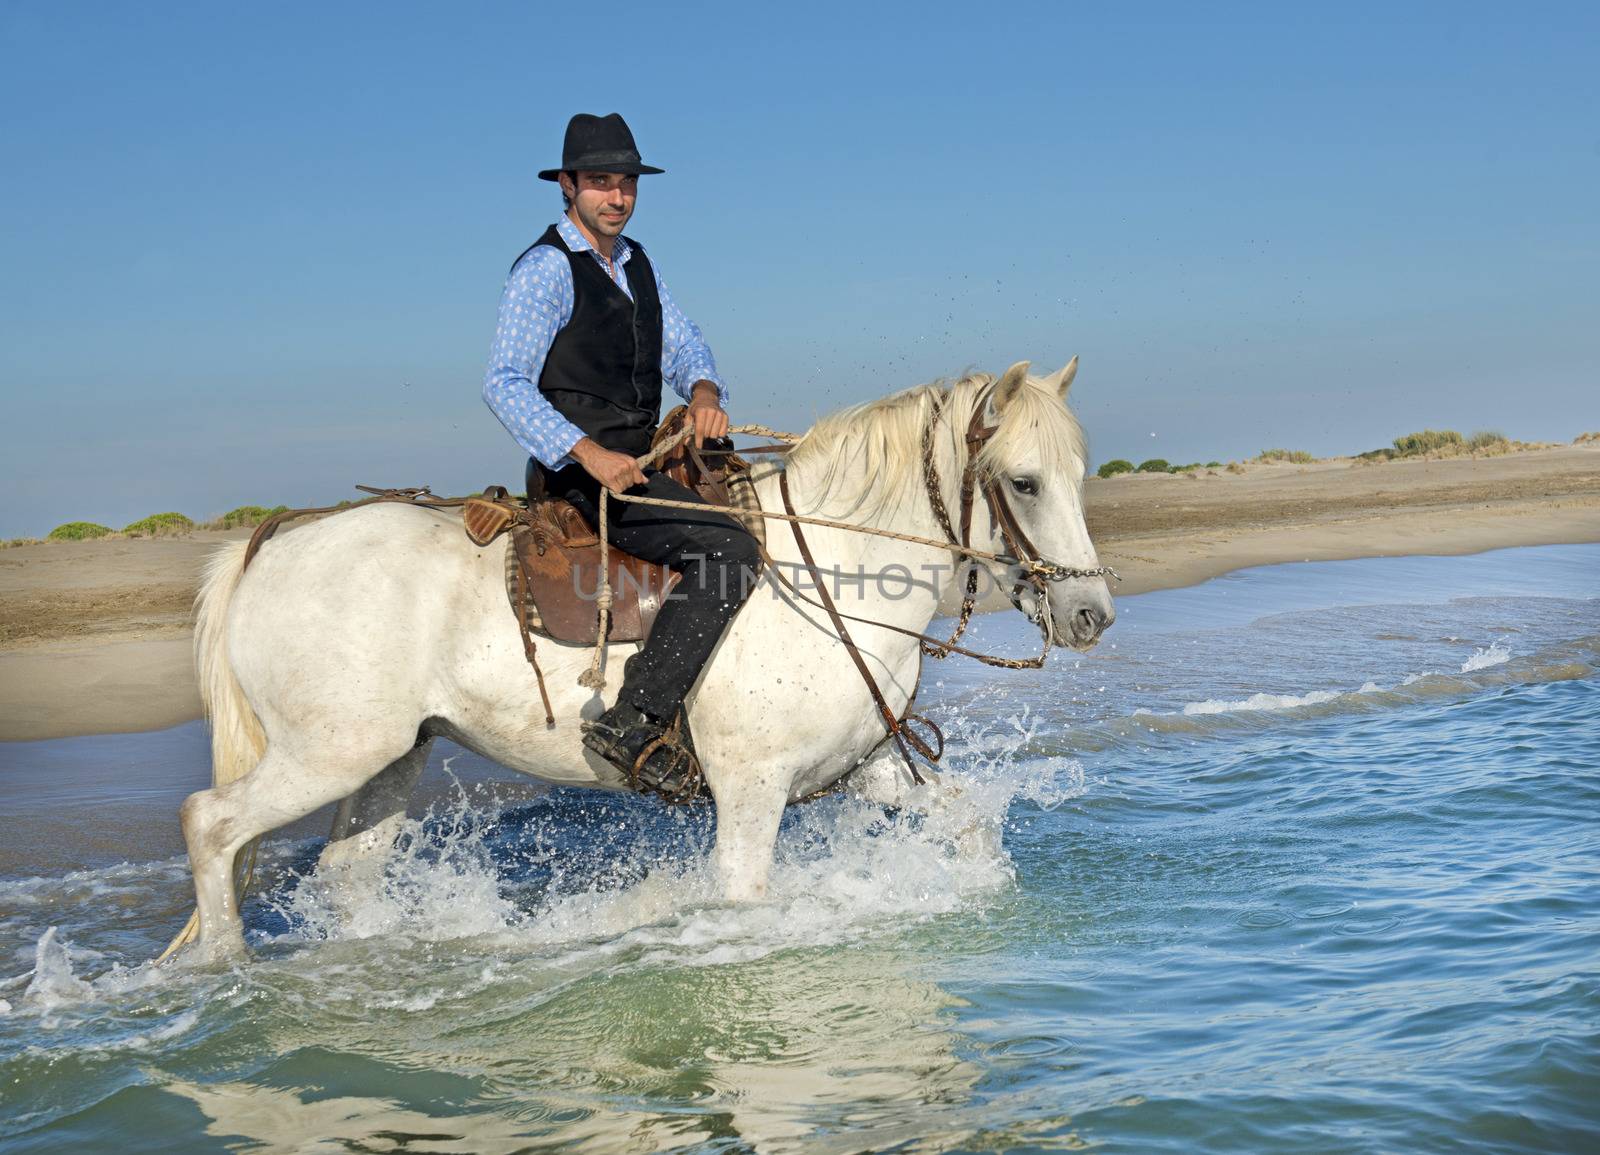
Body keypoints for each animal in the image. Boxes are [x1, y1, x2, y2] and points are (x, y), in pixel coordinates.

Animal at [181, 359, 1113, 953]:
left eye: (1076, 474)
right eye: (1023, 481)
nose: (1091, 613)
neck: (835, 569)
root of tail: (267, 549)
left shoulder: (864, 765)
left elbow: (968, 824)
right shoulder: (751, 791)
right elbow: (744, 900)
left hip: (390, 756)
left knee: (346, 871)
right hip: (328, 752)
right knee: (210, 824)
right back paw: (226, 971)